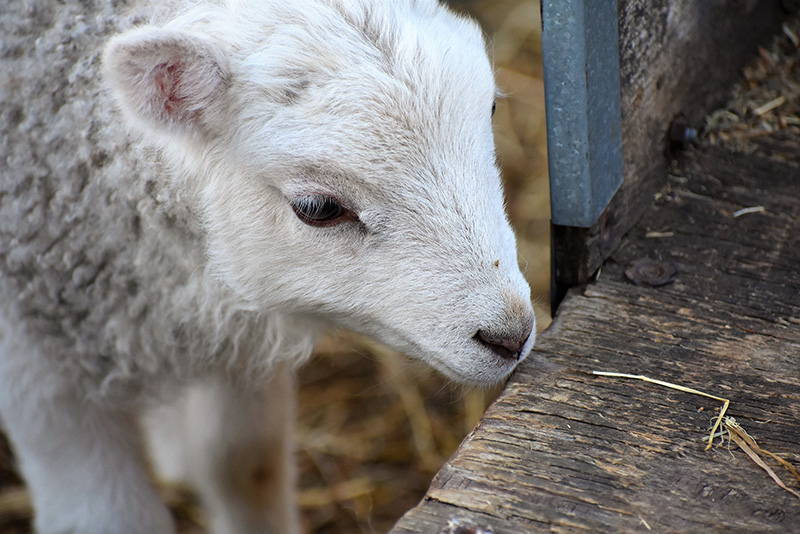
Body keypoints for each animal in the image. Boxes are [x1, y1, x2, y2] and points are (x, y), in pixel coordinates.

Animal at [0, 0, 536, 532]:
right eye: (318, 207)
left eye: (491, 109)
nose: (511, 336)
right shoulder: (40, 378)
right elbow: (107, 516)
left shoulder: (242, 342)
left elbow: (243, 463)